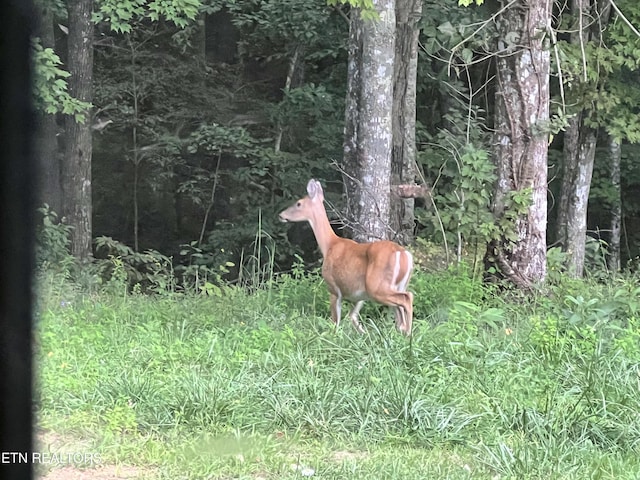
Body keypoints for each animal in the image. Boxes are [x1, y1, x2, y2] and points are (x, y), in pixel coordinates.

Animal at [280, 179, 416, 334]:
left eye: (298, 203)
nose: (281, 215)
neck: (329, 245)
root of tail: (403, 253)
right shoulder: (358, 295)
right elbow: (352, 317)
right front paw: (363, 334)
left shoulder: (334, 288)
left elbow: (335, 323)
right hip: (397, 285)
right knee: (400, 311)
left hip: (376, 286)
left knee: (407, 298)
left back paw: (408, 334)